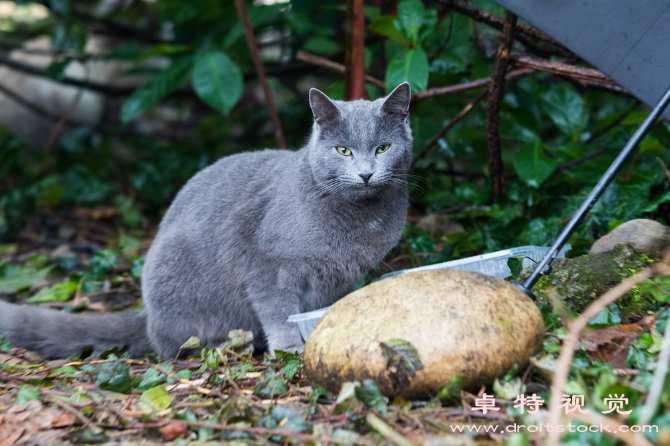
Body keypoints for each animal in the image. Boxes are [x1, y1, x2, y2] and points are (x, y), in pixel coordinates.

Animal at [0, 83, 414, 358]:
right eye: (343, 150)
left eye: (383, 148)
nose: (365, 174)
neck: (361, 218)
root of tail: (147, 317)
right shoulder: (264, 264)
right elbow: (279, 311)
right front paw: (289, 349)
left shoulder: (344, 277)